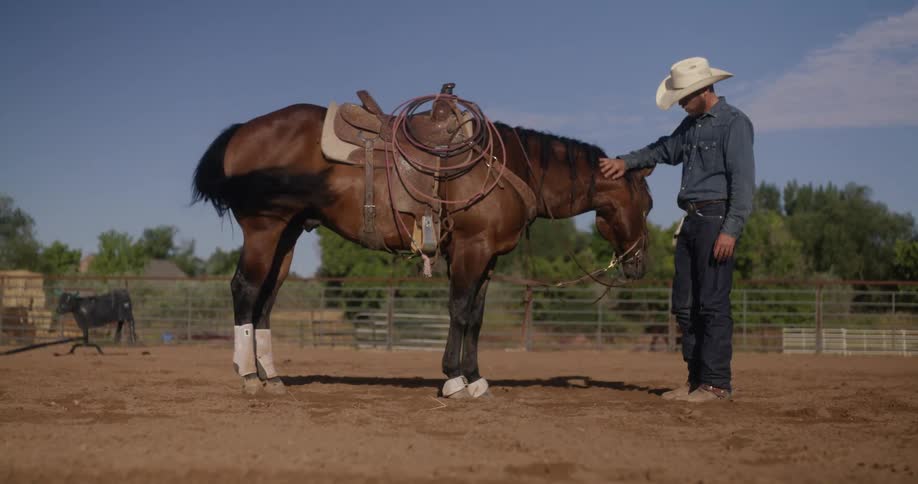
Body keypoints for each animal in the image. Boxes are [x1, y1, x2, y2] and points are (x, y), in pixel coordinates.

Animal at [191, 89, 653, 397]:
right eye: (647, 204)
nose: (639, 265)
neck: (503, 167)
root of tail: (242, 132)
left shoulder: (487, 257)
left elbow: (476, 317)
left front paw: (475, 377)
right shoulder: (470, 248)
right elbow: (460, 310)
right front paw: (454, 379)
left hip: (286, 234)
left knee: (267, 298)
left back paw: (271, 376)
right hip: (264, 228)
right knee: (245, 289)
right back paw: (248, 376)